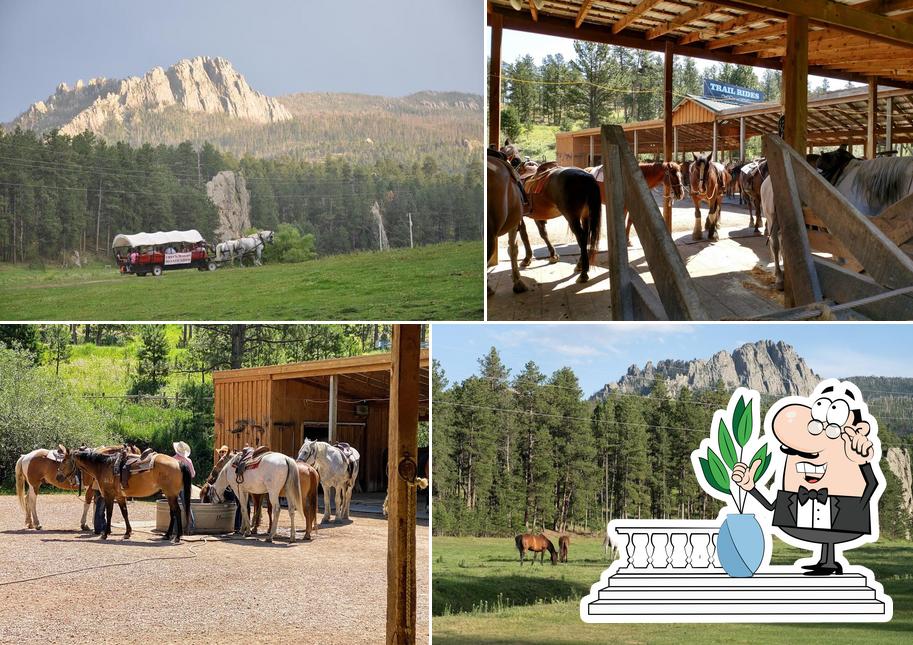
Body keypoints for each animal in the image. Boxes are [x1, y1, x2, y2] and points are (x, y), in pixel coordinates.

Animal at [58, 446, 191, 540]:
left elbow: (110, 513)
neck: (104, 466)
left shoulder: (109, 495)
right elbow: (124, 513)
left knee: (176, 511)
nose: (58, 476)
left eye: (64, 461)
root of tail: (178, 463)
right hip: (170, 495)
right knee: (172, 512)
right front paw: (127, 533)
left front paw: (105, 534)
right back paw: (167, 535)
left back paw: (177, 536)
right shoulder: (120, 496)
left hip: (171, 494)